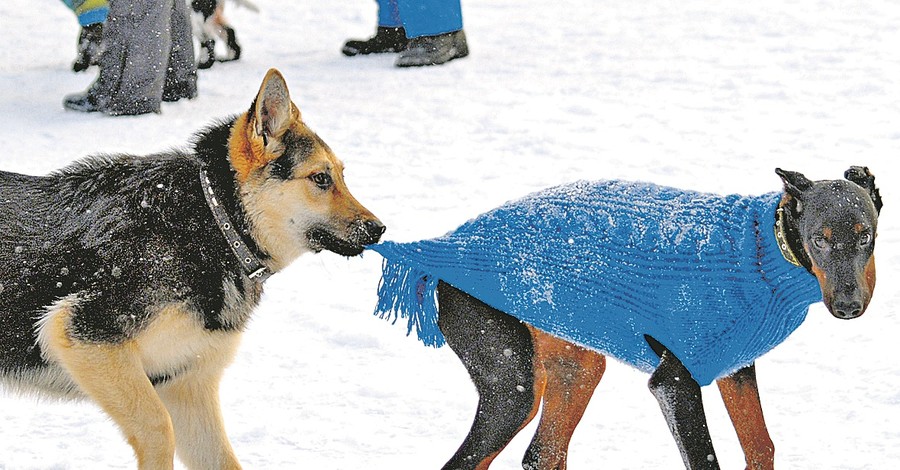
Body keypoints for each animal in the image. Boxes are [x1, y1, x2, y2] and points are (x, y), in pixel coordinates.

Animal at [0, 68, 384, 468]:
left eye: (342, 176)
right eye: (321, 178)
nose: (379, 229)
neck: (213, 226)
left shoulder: (187, 384)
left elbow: (223, 459)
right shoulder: (83, 333)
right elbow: (158, 428)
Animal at [434, 168, 880, 470]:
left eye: (865, 237)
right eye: (819, 239)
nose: (848, 305)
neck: (763, 249)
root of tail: (438, 249)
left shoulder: (734, 367)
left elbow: (761, 445)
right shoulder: (674, 383)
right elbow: (706, 459)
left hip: (578, 365)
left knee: (541, 454)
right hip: (513, 386)